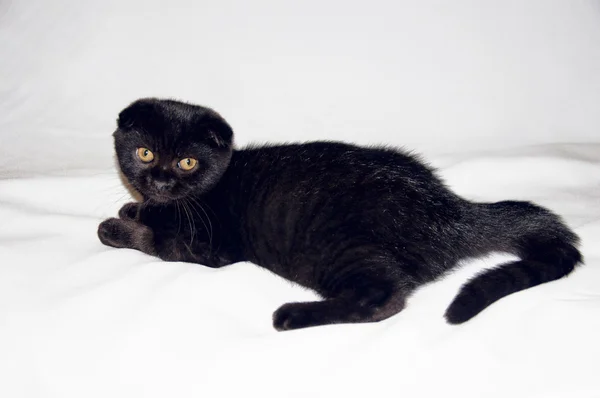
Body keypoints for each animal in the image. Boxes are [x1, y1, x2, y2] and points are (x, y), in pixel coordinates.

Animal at [97, 98, 580, 332]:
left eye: (187, 163)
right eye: (145, 153)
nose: (161, 181)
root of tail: (451, 208)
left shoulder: (209, 249)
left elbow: (155, 241)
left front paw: (117, 226)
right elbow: (150, 213)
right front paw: (136, 205)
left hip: (339, 249)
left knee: (384, 298)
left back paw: (292, 314)